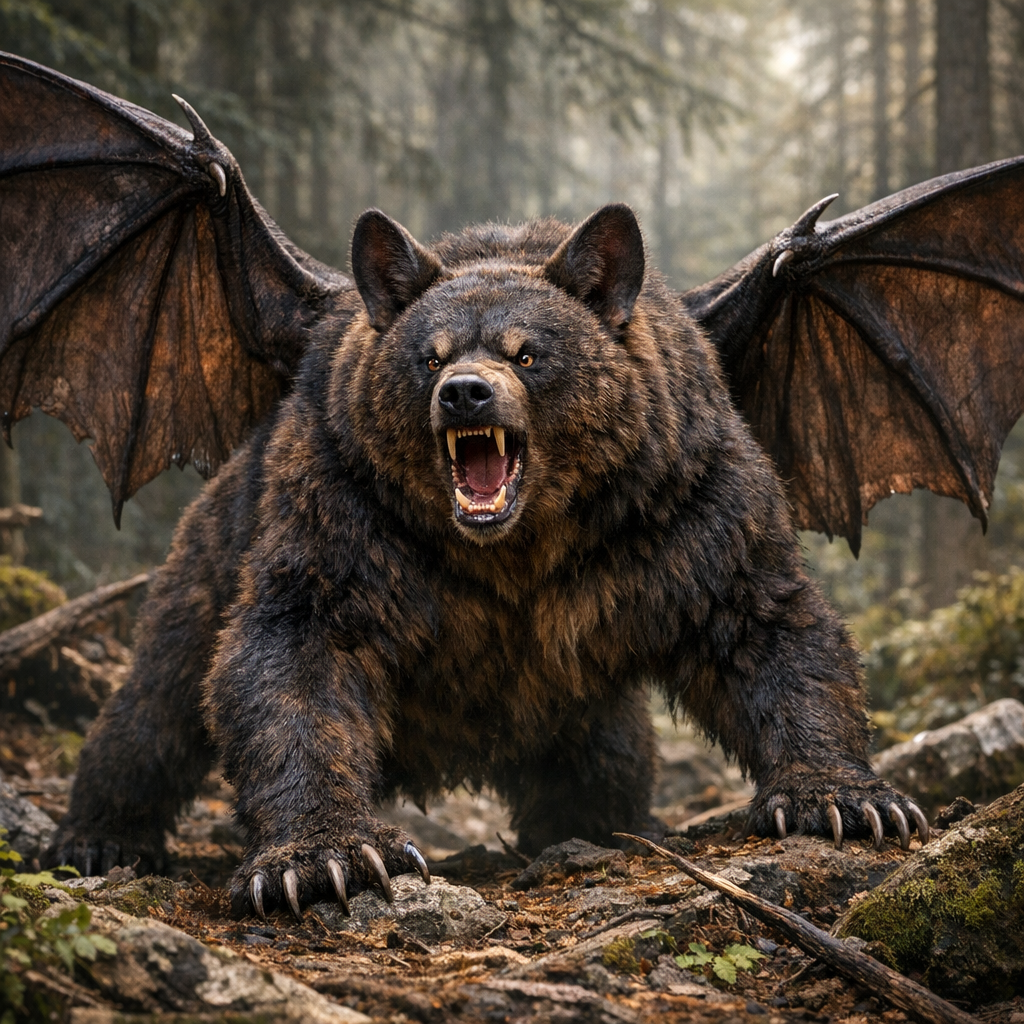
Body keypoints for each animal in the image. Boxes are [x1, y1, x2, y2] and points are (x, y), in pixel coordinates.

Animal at [44, 203, 927, 917]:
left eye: (528, 352)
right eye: (430, 356)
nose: (466, 391)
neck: (519, 541)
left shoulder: (680, 505)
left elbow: (766, 622)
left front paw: (848, 802)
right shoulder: (352, 514)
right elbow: (295, 653)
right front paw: (322, 860)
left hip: (584, 705)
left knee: (608, 760)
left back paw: (600, 825)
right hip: (210, 553)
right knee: (157, 704)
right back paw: (96, 838)